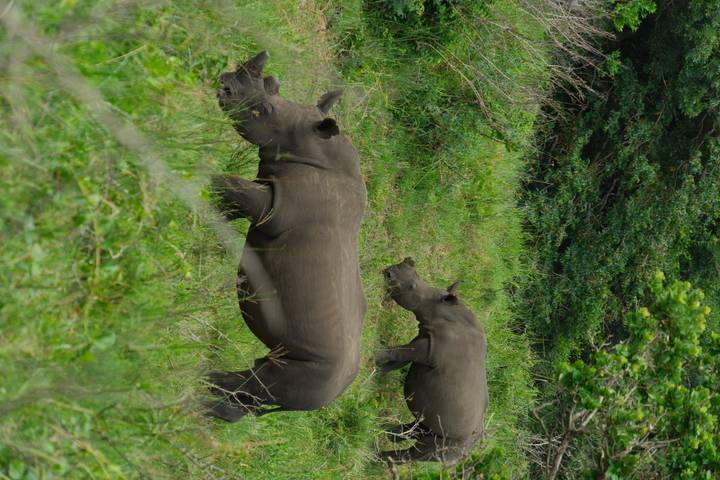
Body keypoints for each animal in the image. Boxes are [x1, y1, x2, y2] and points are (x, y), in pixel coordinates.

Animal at [206, 51, 367, 421]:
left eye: (264, 110)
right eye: (273, 85)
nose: (223, 84)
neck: (308, 145)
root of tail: (334, 396)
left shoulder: (276, 205)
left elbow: (227, 184)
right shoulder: (266, 189)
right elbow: (231, 201)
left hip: (315, 373)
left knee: (265, 382)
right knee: (261, 378)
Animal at [375, 257, 488, 464]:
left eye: (412, 286)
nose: (388, 273)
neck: (438, 308)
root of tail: (468, 452)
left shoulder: (429, 349)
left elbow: (399, 353)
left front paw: (373, 354)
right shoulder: (423, 339)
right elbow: (398, 359)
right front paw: (375, 374)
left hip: (455, 444)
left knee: (421, 450)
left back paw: (377, 455)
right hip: (454, 436)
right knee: (423, 427)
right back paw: (385, 431)